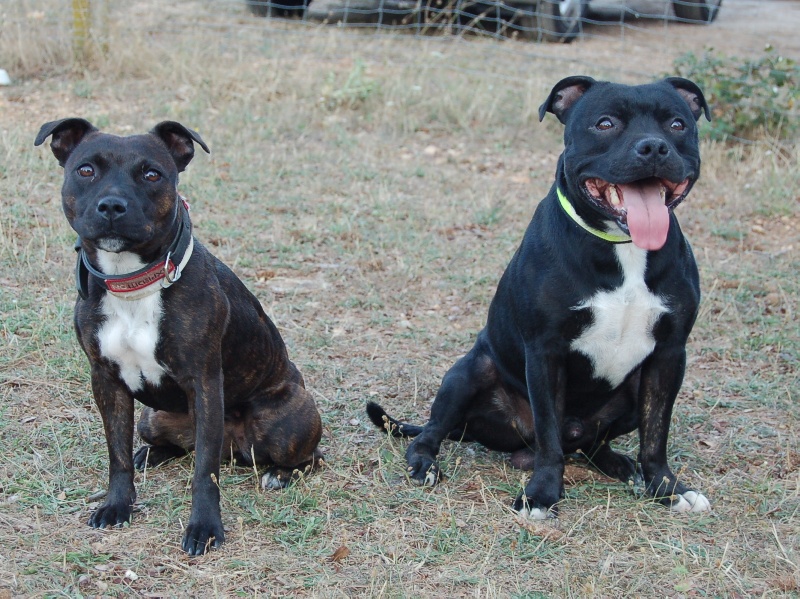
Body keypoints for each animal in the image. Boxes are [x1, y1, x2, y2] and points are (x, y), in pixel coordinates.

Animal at [34, 119, 322, 556]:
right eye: (86, 170)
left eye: (152, 174)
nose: (112, 205)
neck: (132, 281)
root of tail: (234, 448)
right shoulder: (106, 380)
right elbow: (116, 455)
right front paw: (117, 505)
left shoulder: (203, 383)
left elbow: (204, 471)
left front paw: (204, 527)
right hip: (152, 418)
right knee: (167, 444)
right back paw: (150, 453)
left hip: (284, 424)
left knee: (308, 456)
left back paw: (281, 474)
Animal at [368, 76, 712, 520]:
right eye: (605, 123)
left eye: (677, 124)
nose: (653, 147)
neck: (623, 248)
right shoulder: (545, 352)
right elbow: (549, 436)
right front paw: (542, 493)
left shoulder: (669, 355)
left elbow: (657, 433)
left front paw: (667, 487)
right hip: (467, 372)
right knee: (432, 430)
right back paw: (424, 462)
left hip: (630, 392)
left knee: (592, 444)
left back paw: (622, 465)